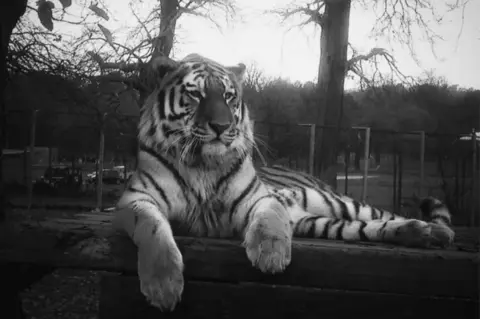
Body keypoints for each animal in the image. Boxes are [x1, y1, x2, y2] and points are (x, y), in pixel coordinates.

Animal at [112, 54, 454, 312]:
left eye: (228, 97)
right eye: (195, 94)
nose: (221, 126)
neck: (203, 165)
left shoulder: (261, 199)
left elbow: (270, 220)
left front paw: (272, 255)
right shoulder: (137, 198)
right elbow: (153, 231)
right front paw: (163, 286)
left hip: (335, 202)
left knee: (383, 215)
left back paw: (437, 231)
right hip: (319, 223)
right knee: (368, 229)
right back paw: (420, 233)